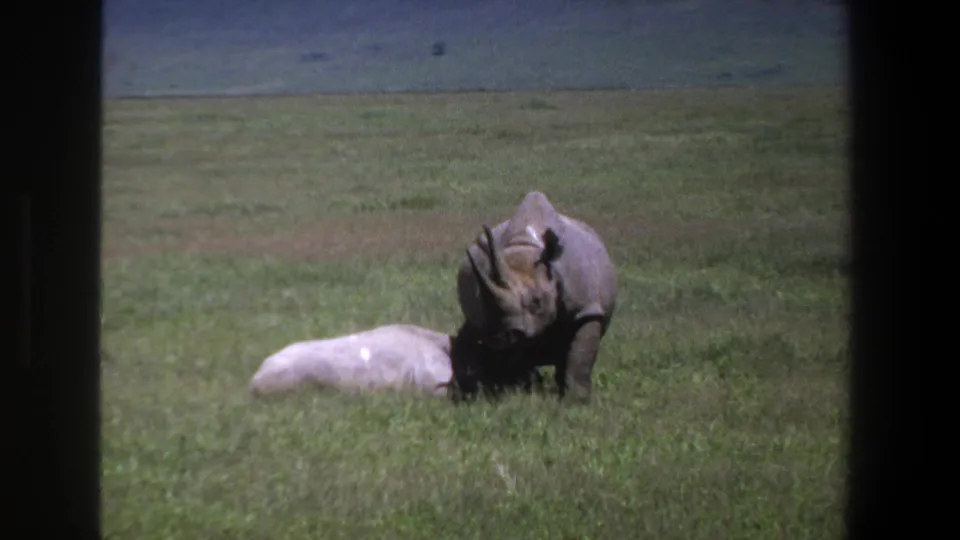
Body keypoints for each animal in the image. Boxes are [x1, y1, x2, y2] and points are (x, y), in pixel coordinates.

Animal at [453, 191, 618, 403]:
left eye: (537, 302)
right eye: (481, 298)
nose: (505, 334)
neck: (525, 247)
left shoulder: (586, 308)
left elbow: (580, 355)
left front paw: (576, 401)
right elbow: (512, 357)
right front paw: (511, 394)